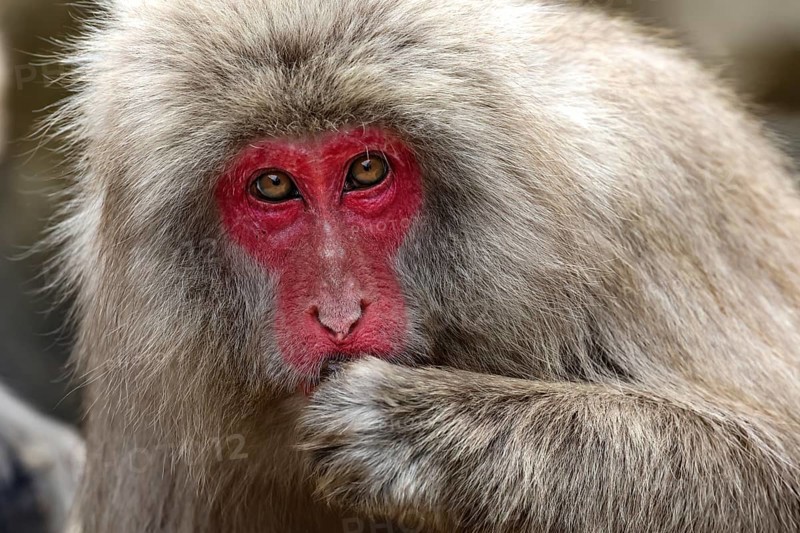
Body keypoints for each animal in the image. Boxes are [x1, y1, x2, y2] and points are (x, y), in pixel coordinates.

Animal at [50, 0, 800, 531]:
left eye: (366, 171)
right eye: (273, 186)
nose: (340, 314)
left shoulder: (646, 206)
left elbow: (778, 468)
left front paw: (418, 432)